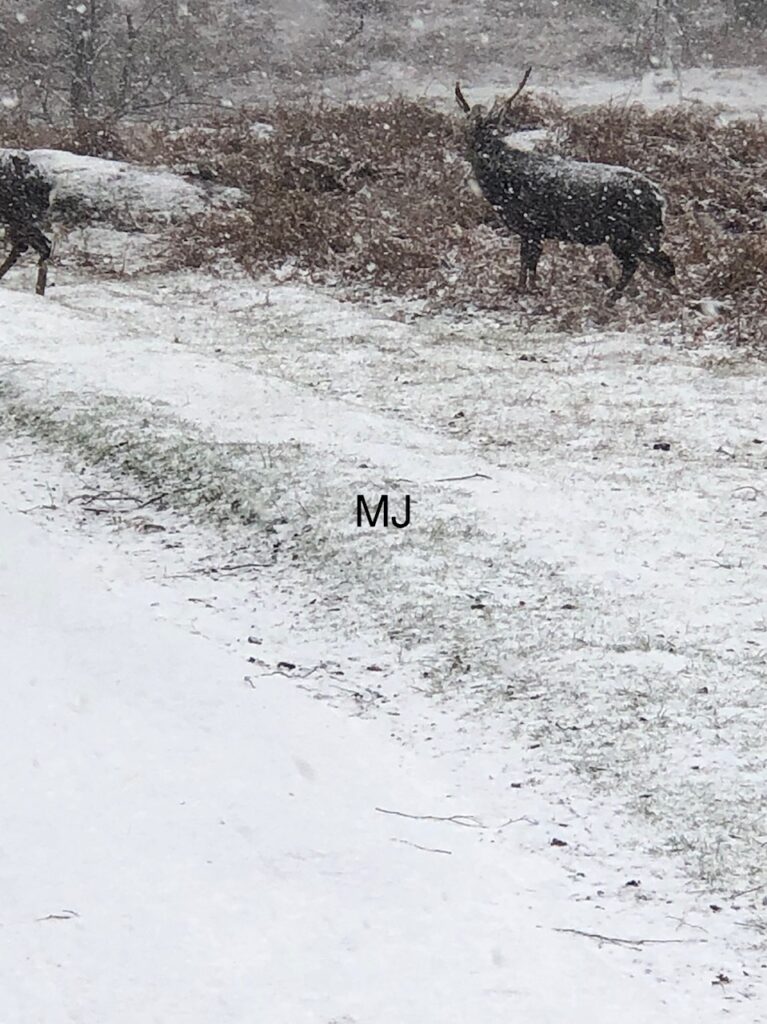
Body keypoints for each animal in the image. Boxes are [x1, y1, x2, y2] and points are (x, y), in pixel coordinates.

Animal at [454, 69, 675, 296]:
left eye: (489, 130)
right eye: (468, 128)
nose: (473, 152)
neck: (502, 189)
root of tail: (660, 199)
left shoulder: (532, 223)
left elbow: (530, 262)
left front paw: (530, 290)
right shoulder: (529, 229)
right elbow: (526, 261)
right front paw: (524, 287)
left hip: (631, 234)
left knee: (653, 263)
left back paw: (619, 296)